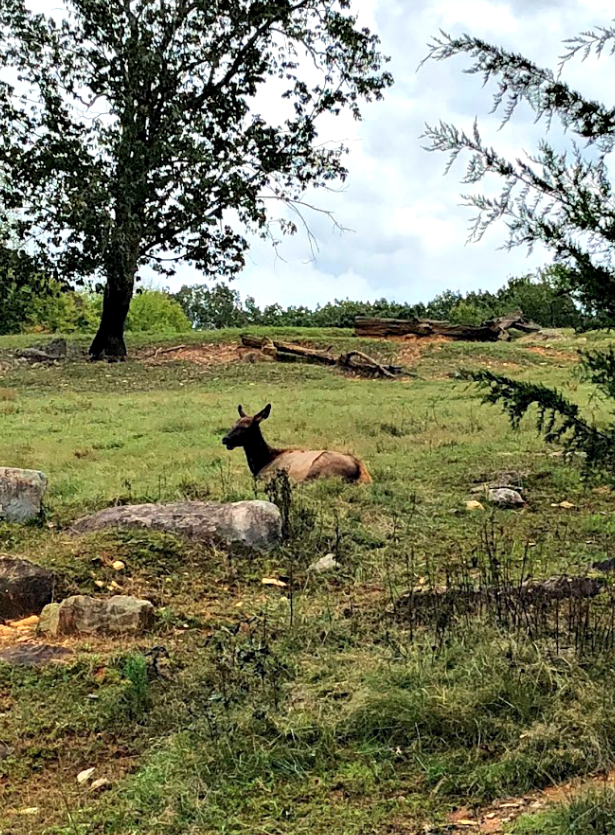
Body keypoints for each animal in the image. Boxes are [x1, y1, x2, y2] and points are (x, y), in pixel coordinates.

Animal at [224, 404, 372, 484]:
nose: (225, 439)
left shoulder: (265, 477)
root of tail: (359, 466)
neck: (261, 463)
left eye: (245, 427)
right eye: (233, 425)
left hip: (320, 467)